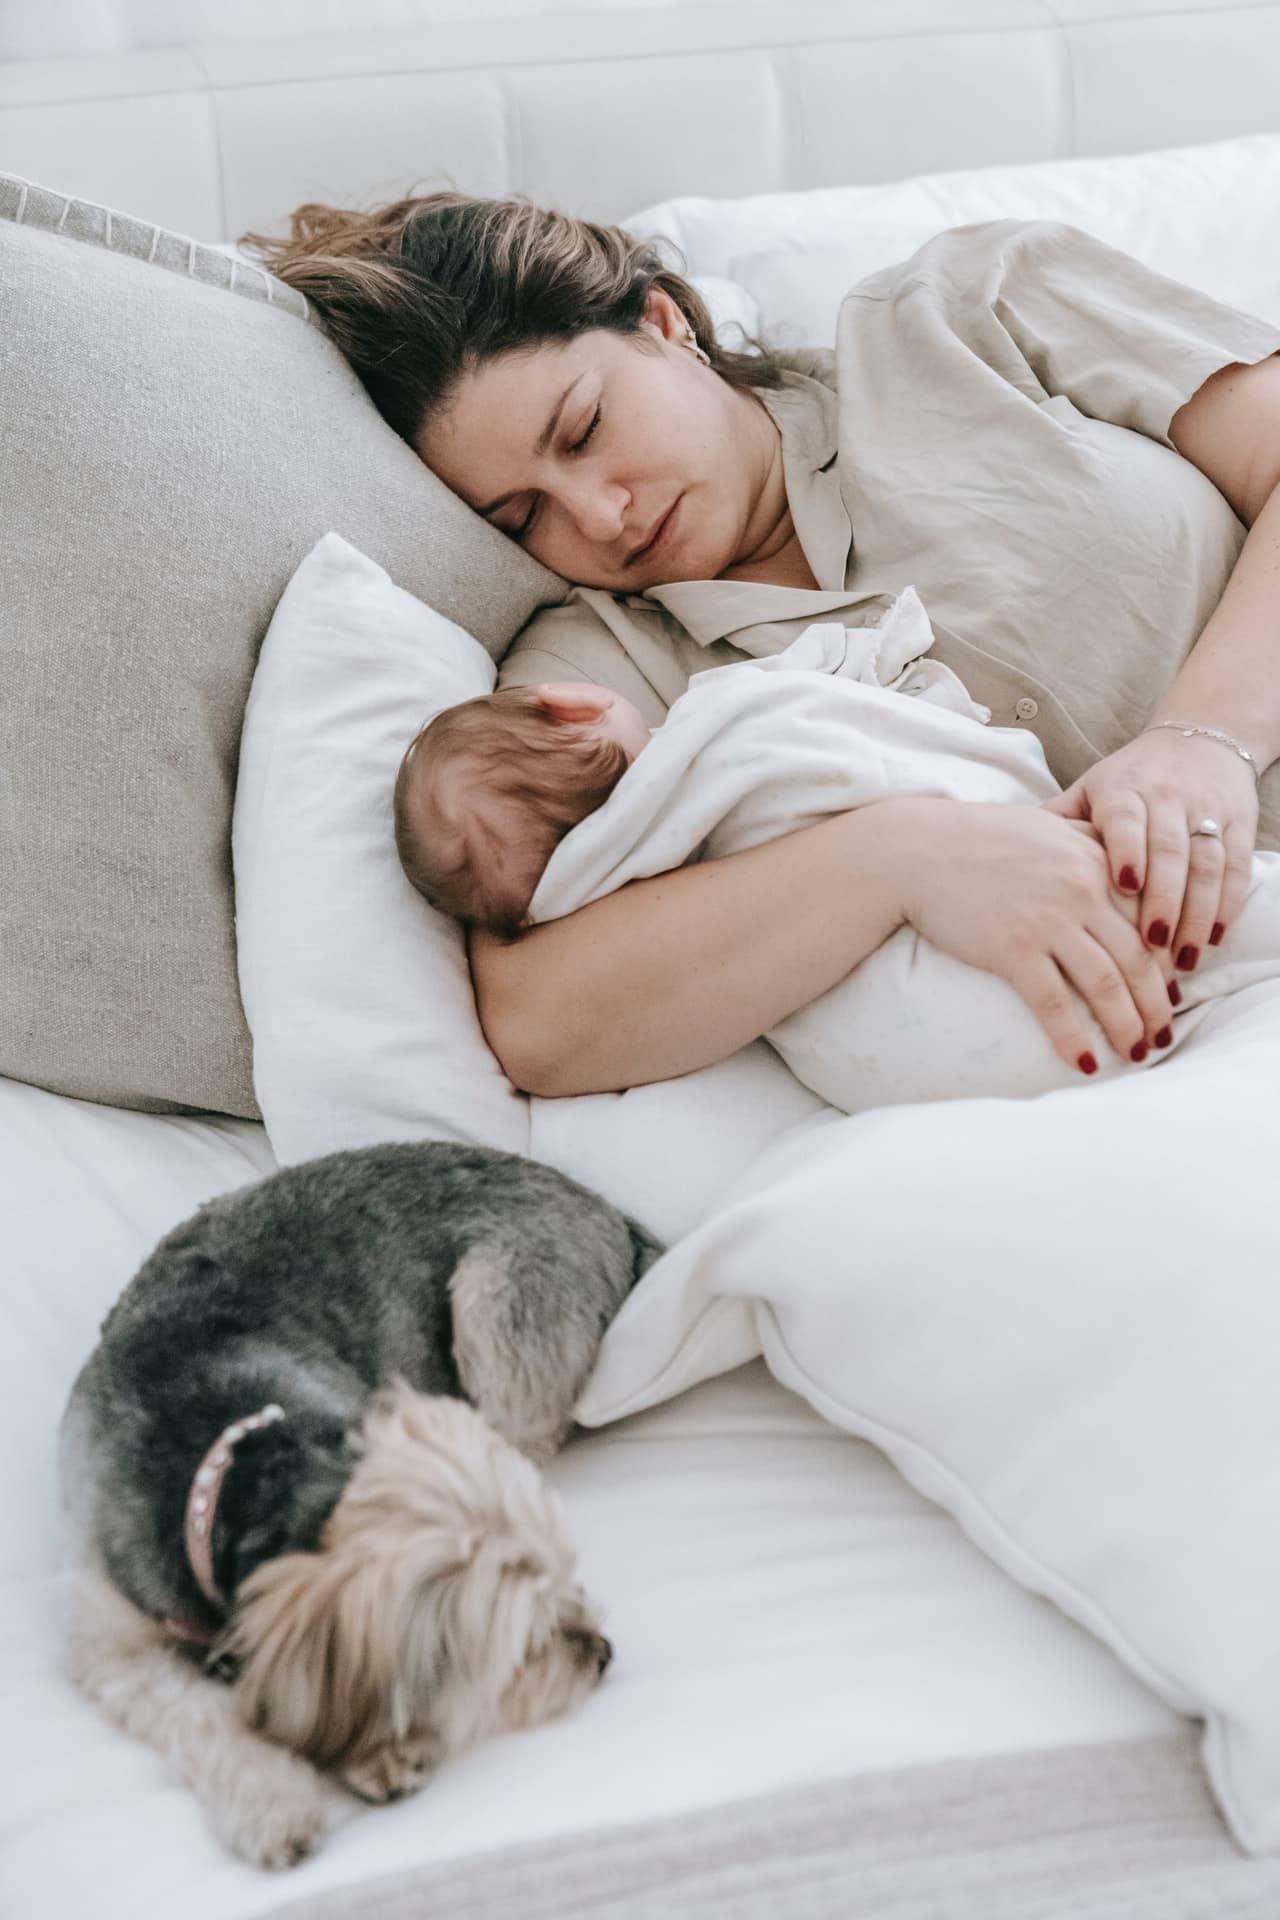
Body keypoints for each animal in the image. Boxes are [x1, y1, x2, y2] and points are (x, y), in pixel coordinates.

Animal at [58, 1144, 660, 1866]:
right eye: (514, 1638)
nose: (602, 1651)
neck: (232, 1468)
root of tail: (606, 1208)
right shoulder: (110, 1641)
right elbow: (195, 1712)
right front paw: (272, 1802)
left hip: (495, 1306)